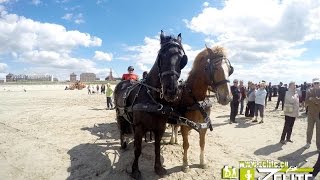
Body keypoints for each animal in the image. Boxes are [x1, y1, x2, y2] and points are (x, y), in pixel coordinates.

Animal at [114, 31, 188, 179]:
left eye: (182, 59)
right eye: (160, 56)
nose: (171, 90)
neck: (153, 100)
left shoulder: (160, 127)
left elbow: (157, 148)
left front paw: (158, 168)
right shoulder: (139, 127)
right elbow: (137, 149)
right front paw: (135, 170)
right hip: (119, 114)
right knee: (121, 129)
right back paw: (123, 144)